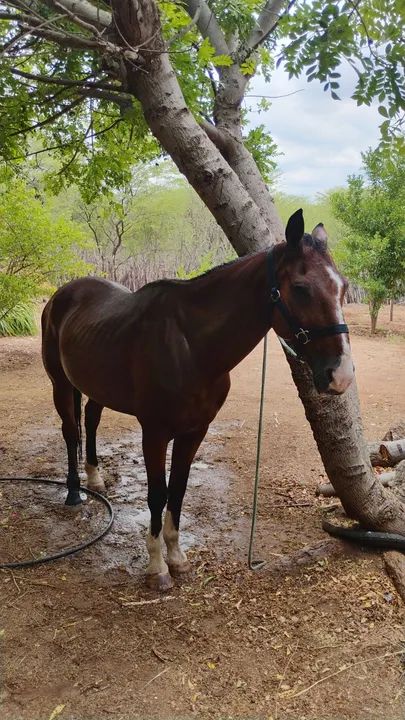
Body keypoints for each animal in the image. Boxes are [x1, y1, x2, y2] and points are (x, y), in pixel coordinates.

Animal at [41, 209, 354, 590]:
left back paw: (96, 479)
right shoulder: (155, 433)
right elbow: (157, 493)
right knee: (71, 431)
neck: (189, 344)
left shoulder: (195, 431)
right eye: (300, 288)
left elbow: (178, 489)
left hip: (96, 386)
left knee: (90, 418)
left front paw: (177, 558)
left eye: (343, 287)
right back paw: (74, 493)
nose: (341, 375)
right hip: (59, 383)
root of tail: (62, 293)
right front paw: (157, 567)